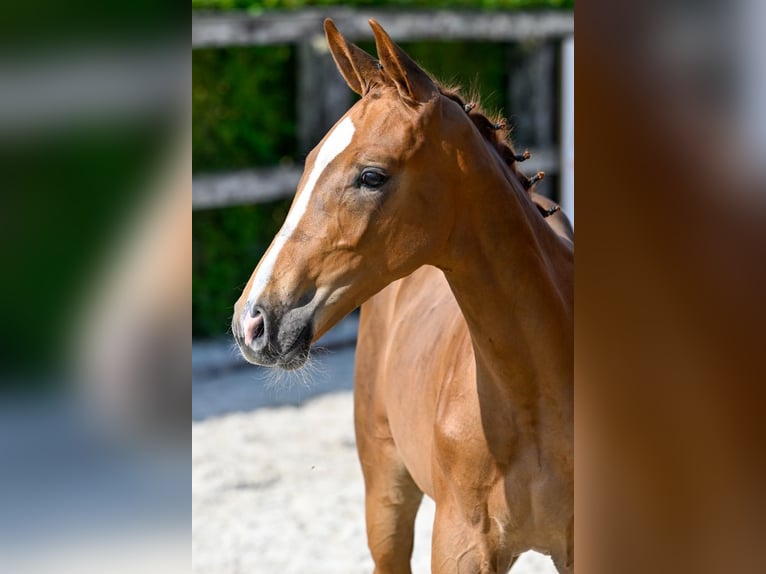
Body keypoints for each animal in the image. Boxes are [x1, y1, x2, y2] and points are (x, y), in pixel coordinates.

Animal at [231, 19, 572, 574]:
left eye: (371, 175)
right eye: (308, 163)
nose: (252, 322)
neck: (535, 402)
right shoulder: (461, 547)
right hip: (385, 494)